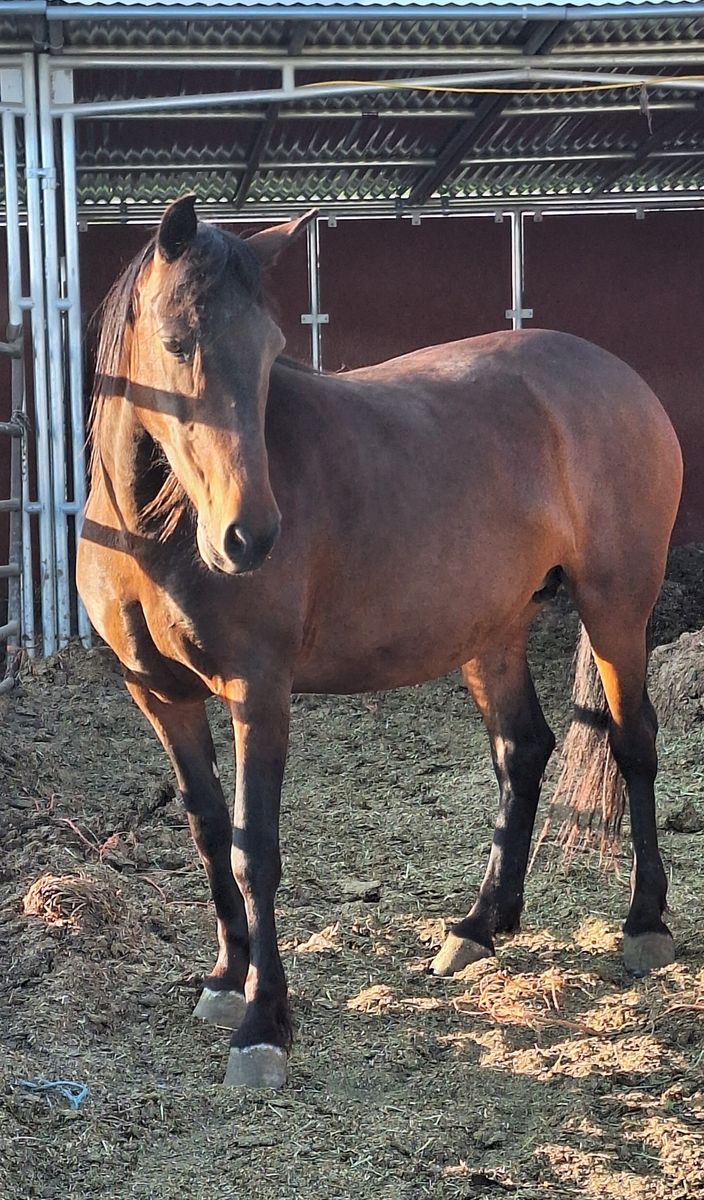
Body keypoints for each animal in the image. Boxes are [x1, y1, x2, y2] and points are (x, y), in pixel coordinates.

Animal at [77, 196, 683, 1089]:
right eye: (180, 342)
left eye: (273, 352)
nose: (251, 538)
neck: (153, 533)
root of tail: (621, 378)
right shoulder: (158, 696)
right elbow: (208, 831)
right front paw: (225, 977)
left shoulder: (259, 691)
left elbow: (256, 848)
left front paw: (264, 1023)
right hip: (492, 630)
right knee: (523, 750)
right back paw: (479, 926)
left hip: (616, 608)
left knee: (632, 741)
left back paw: (643, 924)